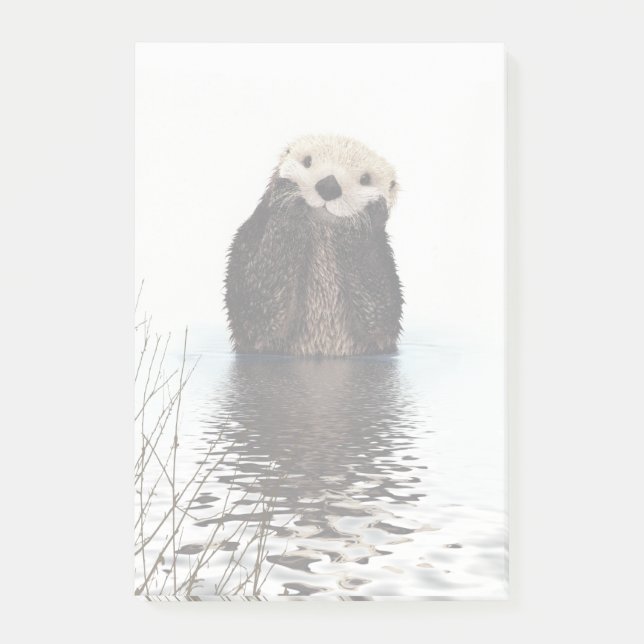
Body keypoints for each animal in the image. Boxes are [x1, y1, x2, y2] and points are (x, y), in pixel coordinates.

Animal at [224, 134, 403, 357]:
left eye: (365, 179)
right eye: (307, 161)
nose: (329, 186)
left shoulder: (384, 263)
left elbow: (380, 315)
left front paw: (366, 217)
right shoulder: (248, 240)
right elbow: (255, 307)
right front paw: (287, 195)